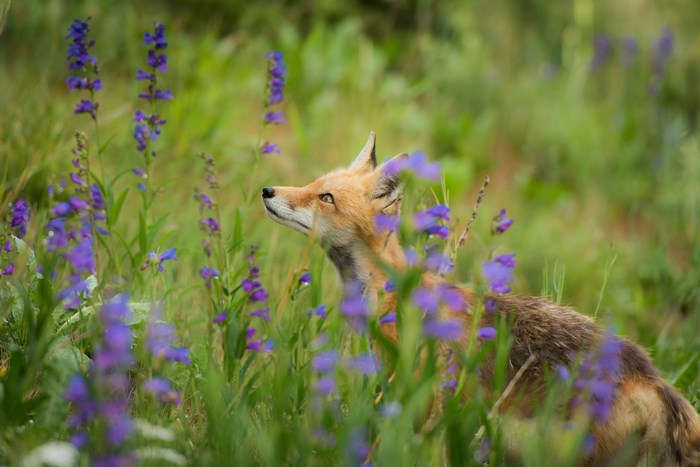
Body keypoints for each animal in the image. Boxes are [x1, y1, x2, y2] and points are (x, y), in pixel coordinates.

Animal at [261, 131, 700, 466]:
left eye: (326, 198)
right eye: (312, 186)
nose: (267, 189)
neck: (391, 293)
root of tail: (651, 374)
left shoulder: (413, 394)